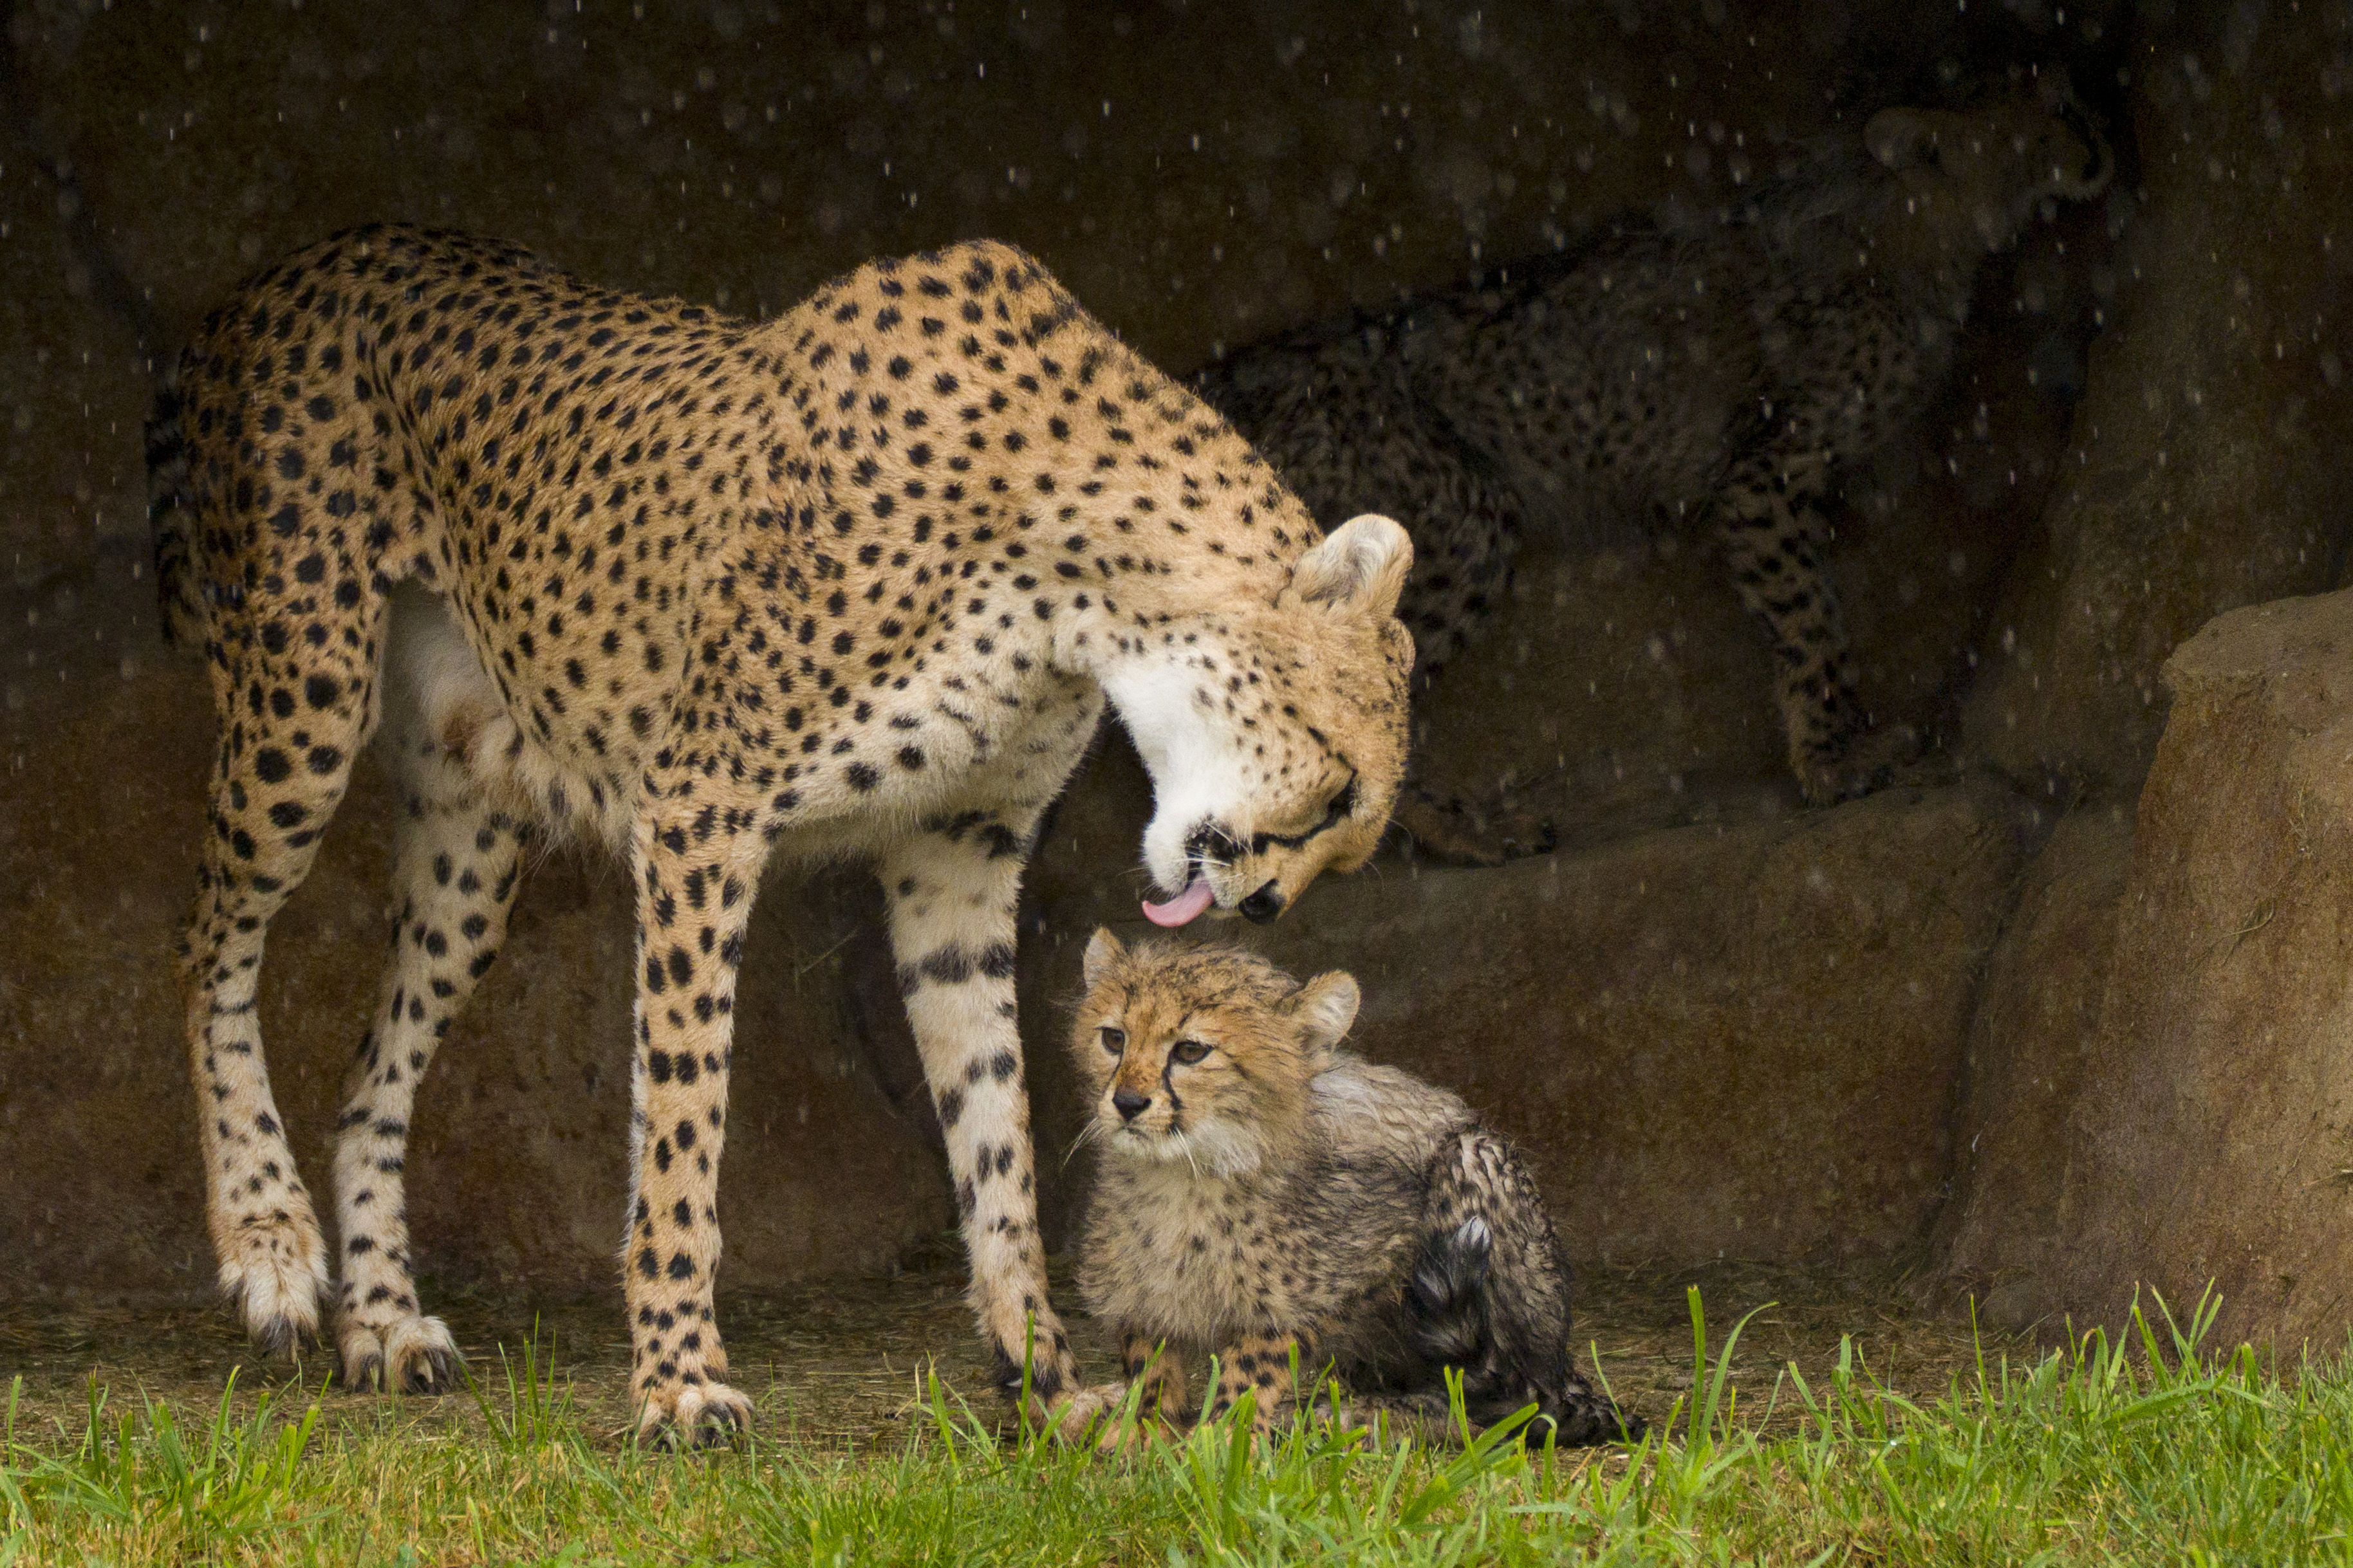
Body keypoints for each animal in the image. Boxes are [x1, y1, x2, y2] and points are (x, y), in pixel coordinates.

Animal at [144, 222, 1417, 1444]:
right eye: (1342, 790)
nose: (1268, 904)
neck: (1085, 584)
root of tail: (292, 267)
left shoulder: (956, 854)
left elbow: (993, 1125)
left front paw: (1044, 1380)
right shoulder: (702, 808)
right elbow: (684, 1120)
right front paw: (677, 1380)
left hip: (474, 831)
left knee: (371, 1072)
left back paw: (382, 1322)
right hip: (303, 706)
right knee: (206, 945)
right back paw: (266, 1238)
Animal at [1057, 929, 1641, 1447]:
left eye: (1191, 1050)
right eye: (1114, 1038)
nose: (1127, 1103)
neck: (1187, 1172)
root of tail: (1563, 1368)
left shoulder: (1358, 1263)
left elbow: (1259, 1356)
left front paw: (1223, 1436)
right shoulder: (1141, 1291)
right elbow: (1148, 1358)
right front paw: (1145, 1427)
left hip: (1475, 1163)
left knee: (1500, 1405)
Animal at [1198, 75, 2113, 862]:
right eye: (2046, 117)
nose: (2099, 135)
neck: (1908, 223)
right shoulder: (1763, 476)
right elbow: (1810, 617)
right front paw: (1835, 762)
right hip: (1461, 514)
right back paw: (1472, 831)